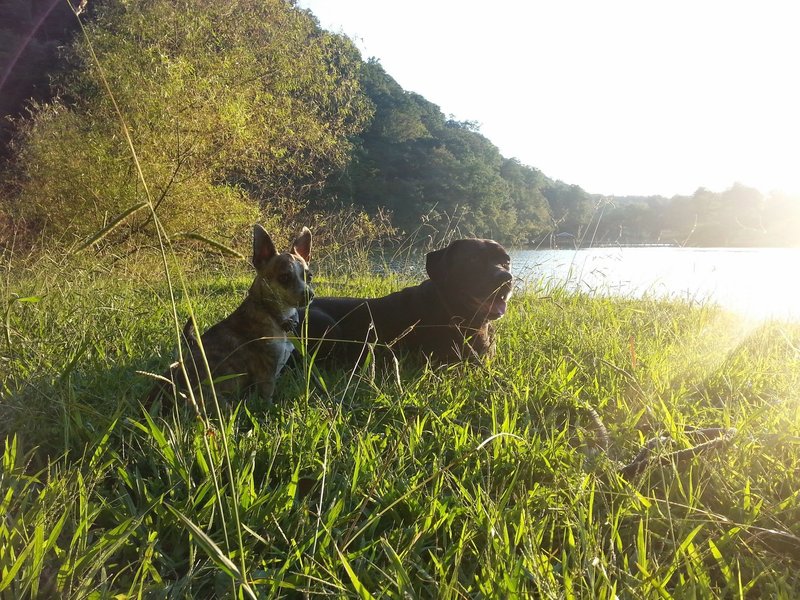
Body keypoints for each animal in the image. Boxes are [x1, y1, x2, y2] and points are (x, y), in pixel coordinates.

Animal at [146, 225, 312, 408]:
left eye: (309, 277)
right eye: (284, 277)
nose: (309, 294)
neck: (271, 313)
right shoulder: (266, 377)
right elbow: (267, 400)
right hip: (218, 401)